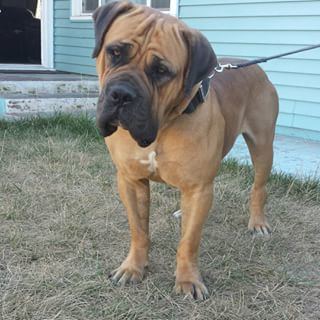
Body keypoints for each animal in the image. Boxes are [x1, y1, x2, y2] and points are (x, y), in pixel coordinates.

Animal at [92, 0, 278, 300]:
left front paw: (188, 279)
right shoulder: (131, 180)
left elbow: (189, 240)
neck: (163, 125)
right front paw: (133, 268)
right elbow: (138, 229)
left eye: (161, 71)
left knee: (259, 187)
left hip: (263, 146)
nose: (121, 94)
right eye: (114, 52)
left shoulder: (199, 186)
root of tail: (255, 68)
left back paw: (258, 222)